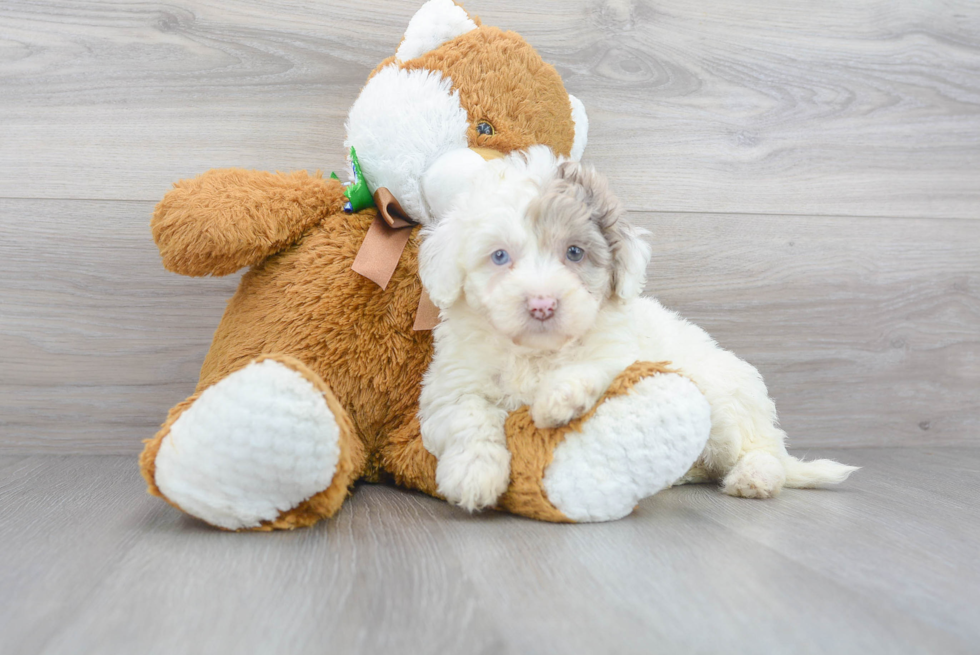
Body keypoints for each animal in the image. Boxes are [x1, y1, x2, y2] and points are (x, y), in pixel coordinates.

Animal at [418, 147, 852, 512]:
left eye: (574, 252)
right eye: (499, 256)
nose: (542, 304)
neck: (536, 351)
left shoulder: (621, 351)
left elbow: (597, 365)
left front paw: (559, 397)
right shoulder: (450, 386)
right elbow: (468, 415)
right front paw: (473, 474)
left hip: (727, 410)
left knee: (762, 449)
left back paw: (753, 477)